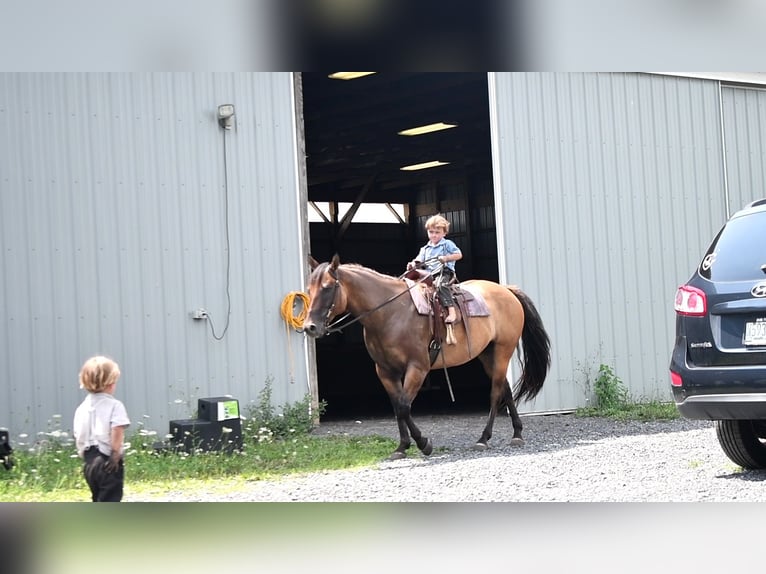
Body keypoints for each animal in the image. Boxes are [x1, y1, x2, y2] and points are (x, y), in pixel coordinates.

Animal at [302, 256, 552, 464]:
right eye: (308, 289)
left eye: (327, 287)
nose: (309, 327)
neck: (391, 313)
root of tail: (507, 290)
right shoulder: (385, 371)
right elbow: (397, 407)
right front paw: (401, 447)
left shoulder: (417, 368)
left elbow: (404, 407)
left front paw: (424, 444)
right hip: (487, 354)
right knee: (505, 389)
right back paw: (517, 434)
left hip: (503, 350)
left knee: (495, 392)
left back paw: (483, 438)